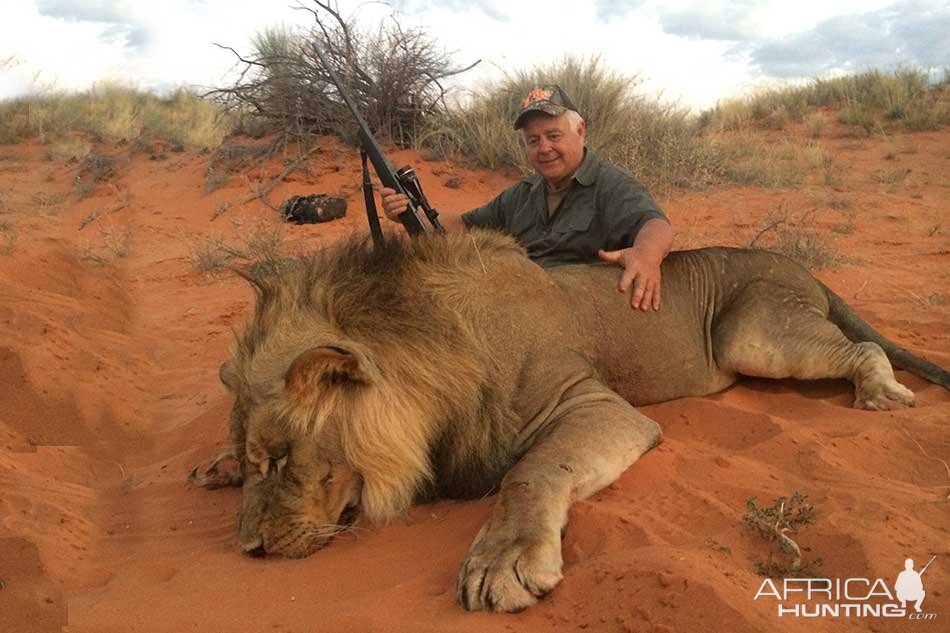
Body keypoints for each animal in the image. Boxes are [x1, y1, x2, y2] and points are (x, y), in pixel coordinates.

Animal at [190, 228, 948, 612]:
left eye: (280, 458)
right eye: (257, 460)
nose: (250, 550)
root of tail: (805, 267)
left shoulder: (594, 404)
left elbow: (528, 471)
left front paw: (503, 561)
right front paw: (213, 465)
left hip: (753, 333)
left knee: (864, 348)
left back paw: (881, 391)